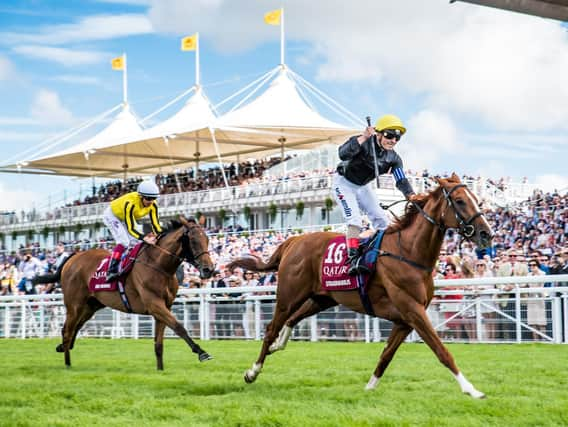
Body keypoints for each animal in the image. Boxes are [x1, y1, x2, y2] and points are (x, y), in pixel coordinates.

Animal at [38, 216, 214, 370]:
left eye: (207, 239)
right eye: (193, 240)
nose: (209, 269)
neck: (159, 265)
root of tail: (73, 256)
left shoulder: (165, 307)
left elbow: (159, 344)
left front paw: (160, 370)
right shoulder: (155, 305)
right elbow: (179, 327)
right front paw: (202, 352)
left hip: (91, 305)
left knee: (75, 327)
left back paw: (63, 347)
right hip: (74, 305)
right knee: (67, 330)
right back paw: (67, 363)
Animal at [226, 174, 492, 398]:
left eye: (476, 200)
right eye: (459, 201)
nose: (486, 234)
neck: (408, 253)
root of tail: (294, 240)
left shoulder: (405, 319)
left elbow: (386, 355)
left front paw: (369, 387)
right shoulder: (413, 311)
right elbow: (441, 350)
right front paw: (471, 389)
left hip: (322, 298)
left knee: (293, 319)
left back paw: (278, 345)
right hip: (288, 296)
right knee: (271, 328)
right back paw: (252, 371)